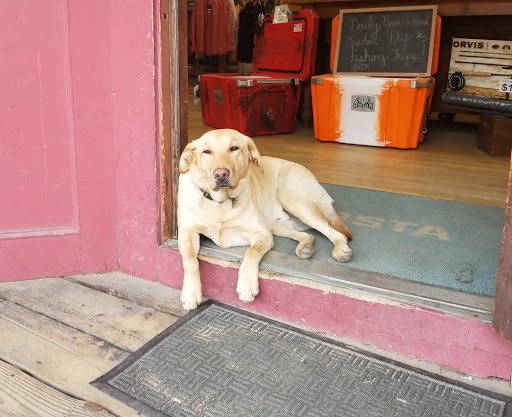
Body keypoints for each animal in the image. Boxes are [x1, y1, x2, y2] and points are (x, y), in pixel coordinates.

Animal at [177, 129, 352, 308]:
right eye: (206, 151)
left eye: (234, 148)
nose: (221, 174)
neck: (220, 203)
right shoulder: (186, 232)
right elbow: (190, 260)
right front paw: (190, 293)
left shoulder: (262, 233)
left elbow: (251, 252)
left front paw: (246, 285)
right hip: (278, 225)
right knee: (308, 235)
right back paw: (305, 246)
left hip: (296, 204)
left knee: (337, 234)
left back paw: (340, 250)